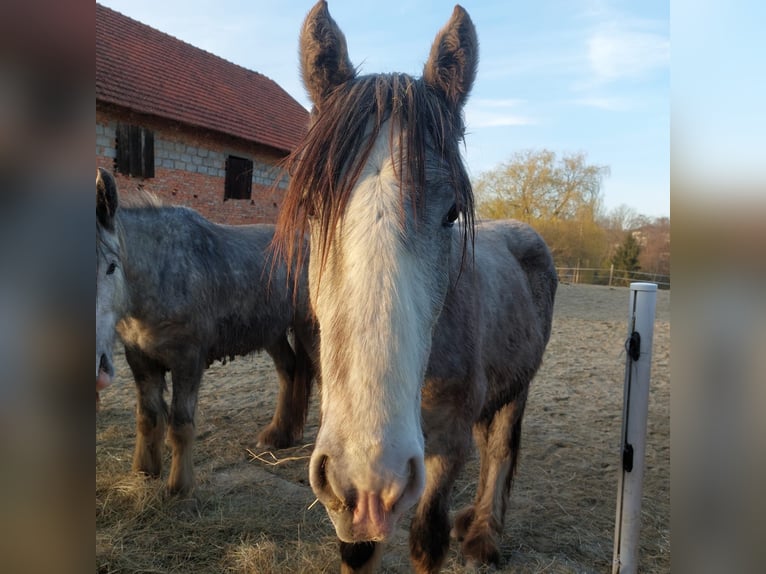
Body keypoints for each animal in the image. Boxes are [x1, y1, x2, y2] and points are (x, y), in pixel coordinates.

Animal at [97, 168, 318, 500]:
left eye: (111, 266)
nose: (97, 366)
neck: (162, 272)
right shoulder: (140, 359)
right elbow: (147, 419)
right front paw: (144, 472)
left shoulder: (187, 359)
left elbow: (180, 424)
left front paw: (179, 487)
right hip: (272, 333)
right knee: (289, 371)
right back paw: (278, 436)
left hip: (310, 327)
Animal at [274, 2, 560, 572]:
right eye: (313, 207)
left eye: (451, 213)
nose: (371, 471)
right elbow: (357, 549)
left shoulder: (446, 446)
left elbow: (428, 538)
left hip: (518, 388)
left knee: (499, 451)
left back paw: (483, 536)